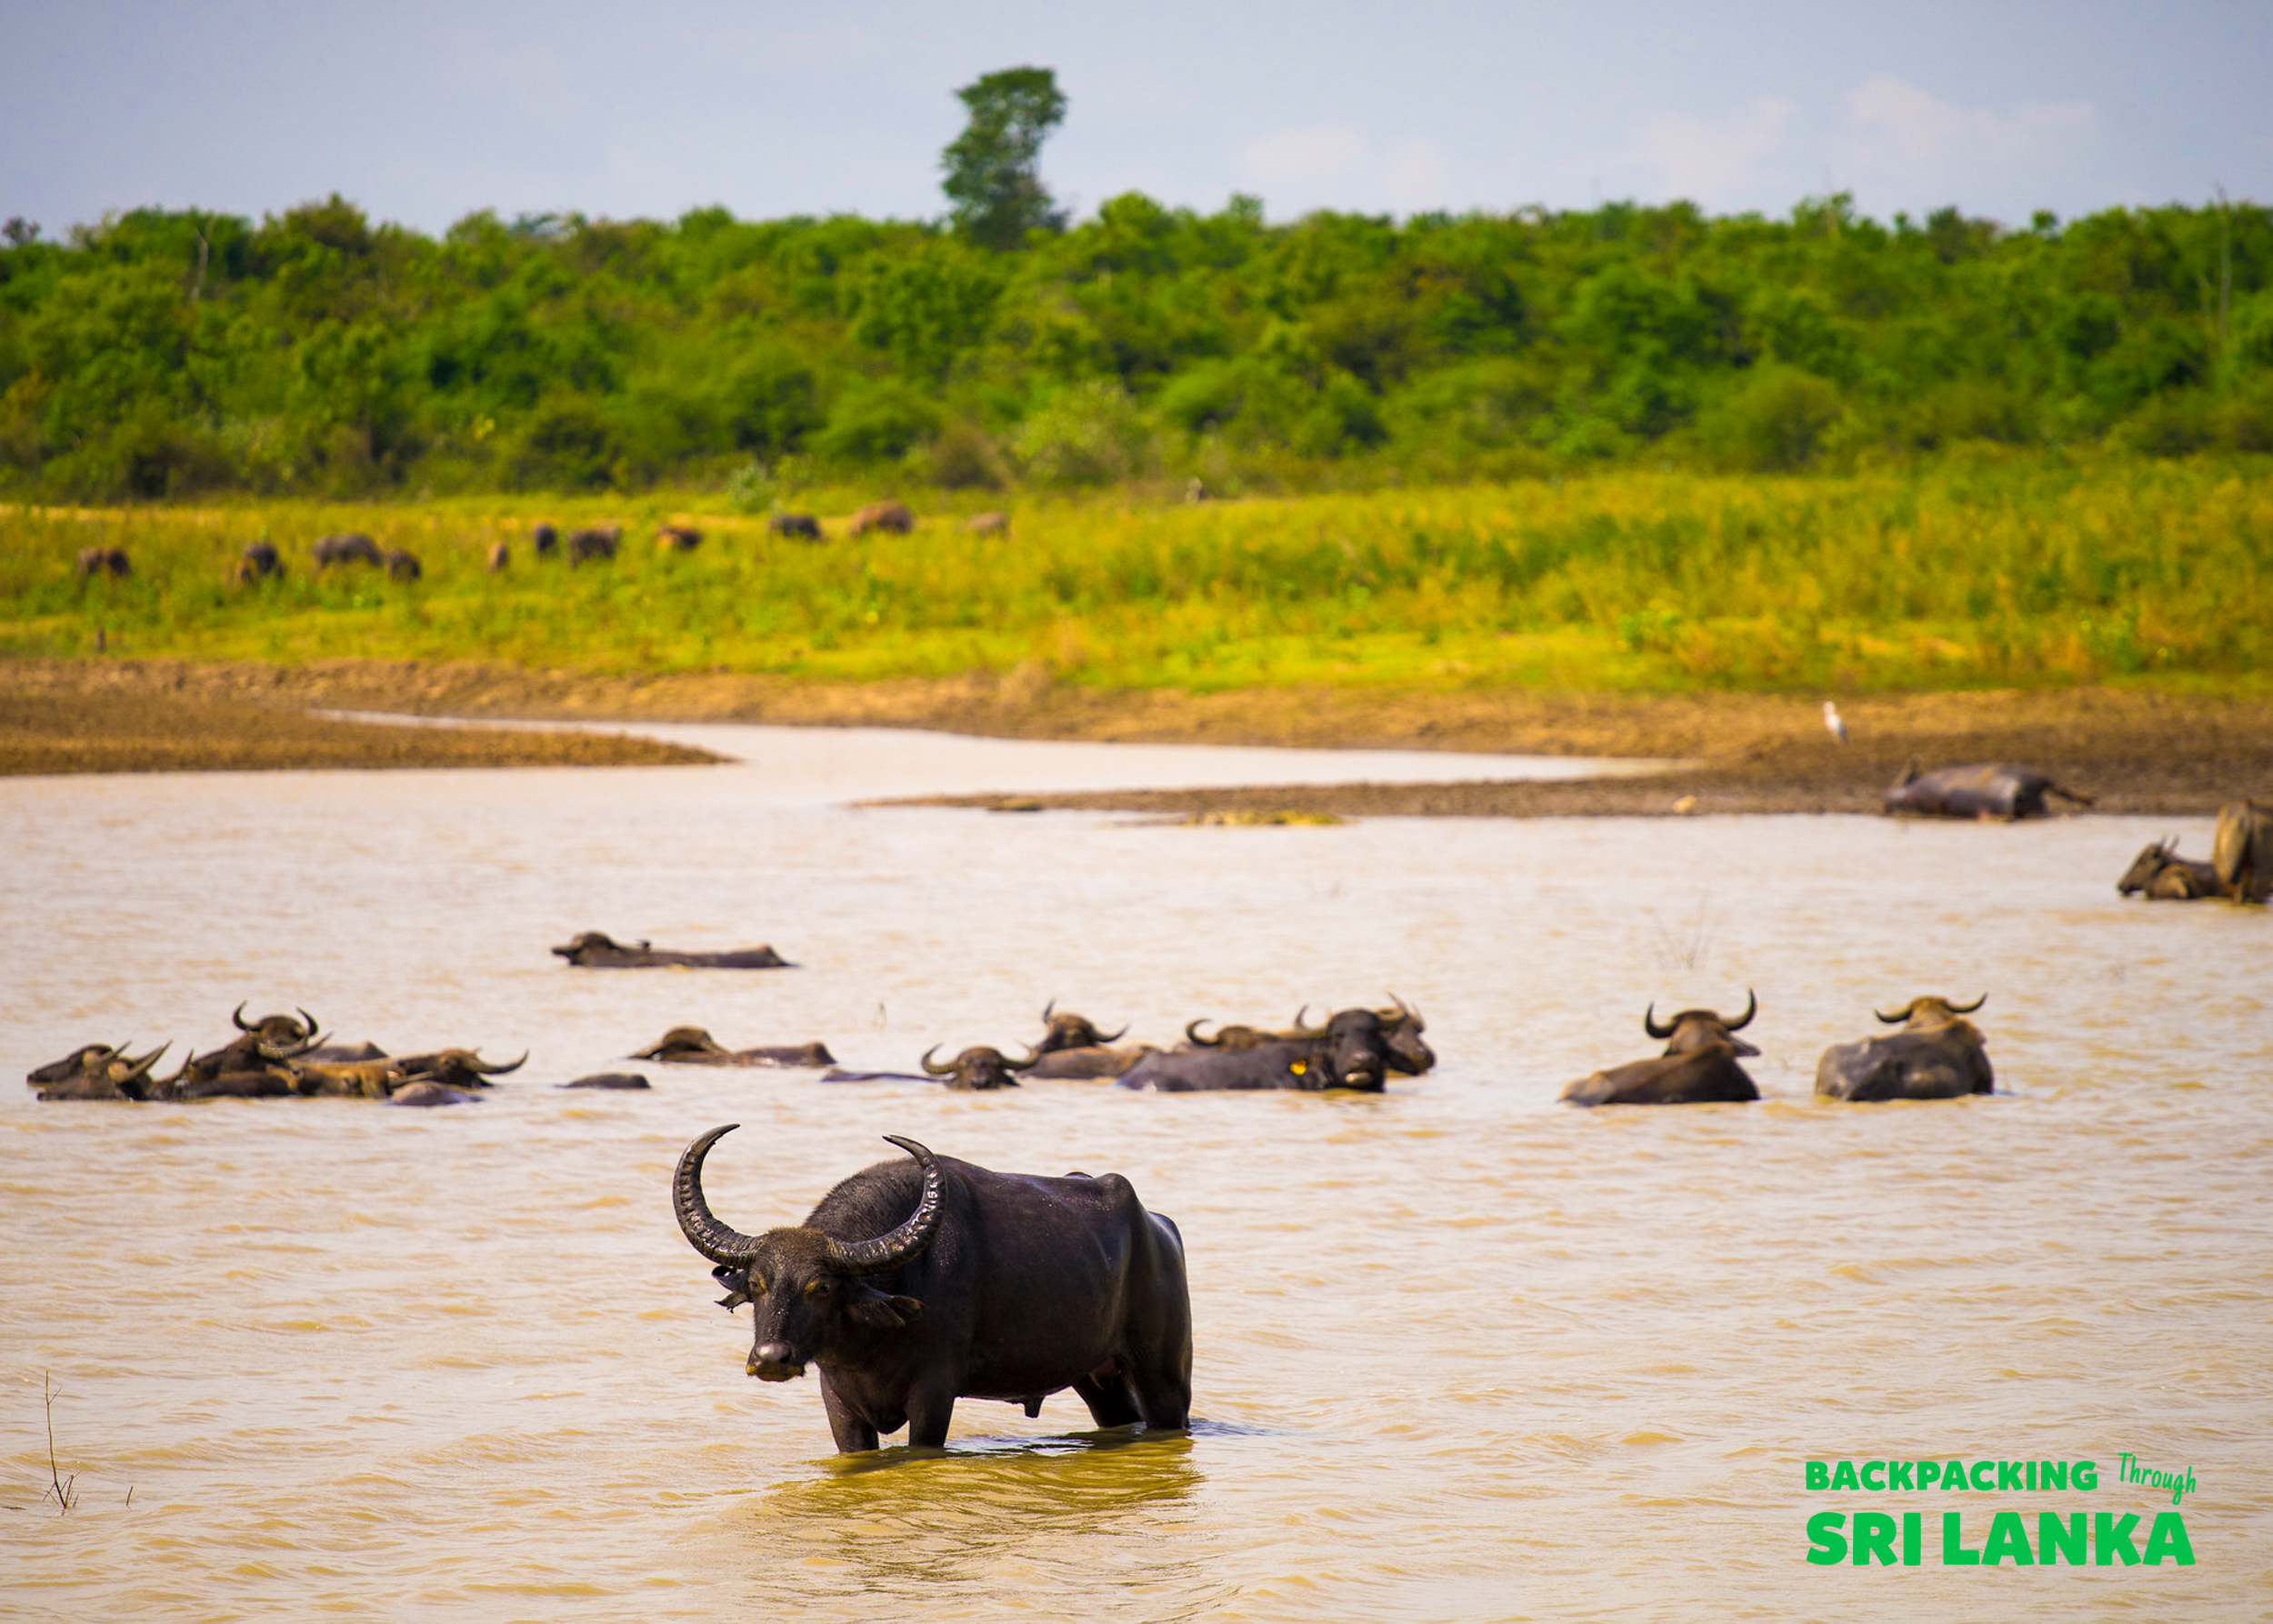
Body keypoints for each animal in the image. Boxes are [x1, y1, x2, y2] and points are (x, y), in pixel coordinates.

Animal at [674, 1127, 1192, 1451]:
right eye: (757, 1284)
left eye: (820, 1286)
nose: (770, 1359)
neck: (872, 1341)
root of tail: (1158, 1226)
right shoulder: (838, 1399)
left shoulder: (934, 1391)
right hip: (1097, 1378)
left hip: (1164, 1375)